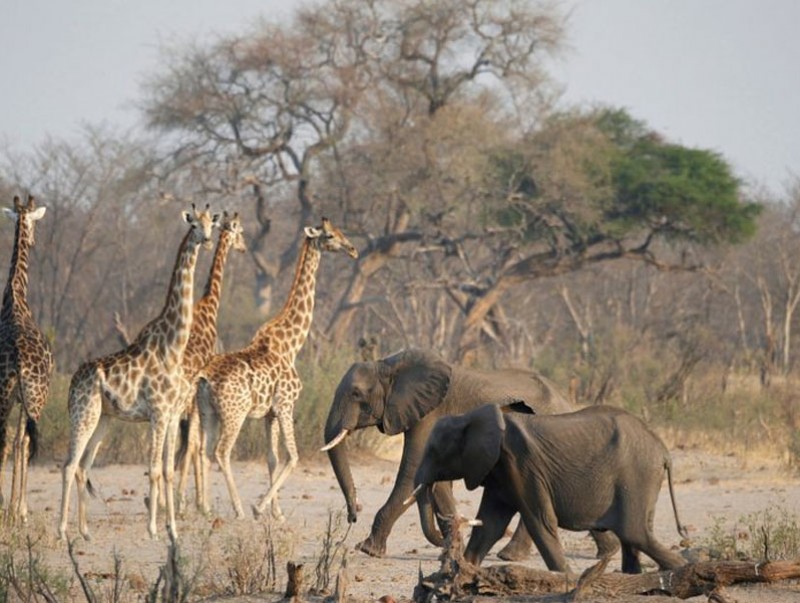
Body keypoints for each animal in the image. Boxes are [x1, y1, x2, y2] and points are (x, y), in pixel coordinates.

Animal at [55, 205, 219, 540]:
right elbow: (154, 469)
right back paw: (63, 531)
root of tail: (73, 381)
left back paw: (86, 532)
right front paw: (154, 529)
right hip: (82, 413)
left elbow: (168, 469)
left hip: (103, 418)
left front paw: (172, 529)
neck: (172, 347)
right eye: (193, 225)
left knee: (83, 465)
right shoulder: (157, 413)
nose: (207, 239)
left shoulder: (171, 415)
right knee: (69, 464)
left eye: (212, 224)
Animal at [195, 217, 358, 520]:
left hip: (207, 412)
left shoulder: (269, 413)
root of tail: (205, 378)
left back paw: (207, 509)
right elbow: (293, 457)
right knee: (222, 452)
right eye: (330, 235)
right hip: (234, 414)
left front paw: (277, 513)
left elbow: (272, 458)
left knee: (204, 451)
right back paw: (238, 509)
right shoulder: (285, 404)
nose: (352, 250)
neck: (291, 344)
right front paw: (259, 507)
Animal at [320, 350, 620, 560]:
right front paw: (451, 549)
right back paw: (608, 552)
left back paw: (510, 556)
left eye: (356, 394)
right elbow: (436, 480)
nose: (353, 515)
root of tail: (566, 401)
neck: (389, 364)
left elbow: (411, 471)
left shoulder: (430, 412)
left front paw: (367, 550)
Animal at [412, 404, 688, 572]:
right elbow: (490, 524)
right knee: (634, 538)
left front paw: (566, 578)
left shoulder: (522, 465)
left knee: (635, 533)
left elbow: (541, 522)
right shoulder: (499, 472)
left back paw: (684, 569)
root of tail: (664, 451)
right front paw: (465, 572)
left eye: (435, 451)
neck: (470, 417)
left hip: (637, 476)